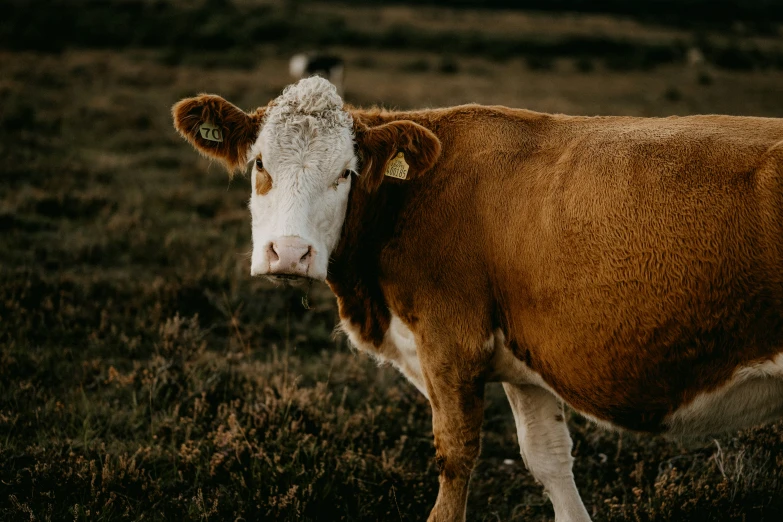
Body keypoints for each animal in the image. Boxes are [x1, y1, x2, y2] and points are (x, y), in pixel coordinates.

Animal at [175, 76, 783, 520]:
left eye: (345, 173)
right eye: (260, 164)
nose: (289, 253)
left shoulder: (450, 346)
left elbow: (456, 458)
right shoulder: (524, 363)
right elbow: (549, 461)